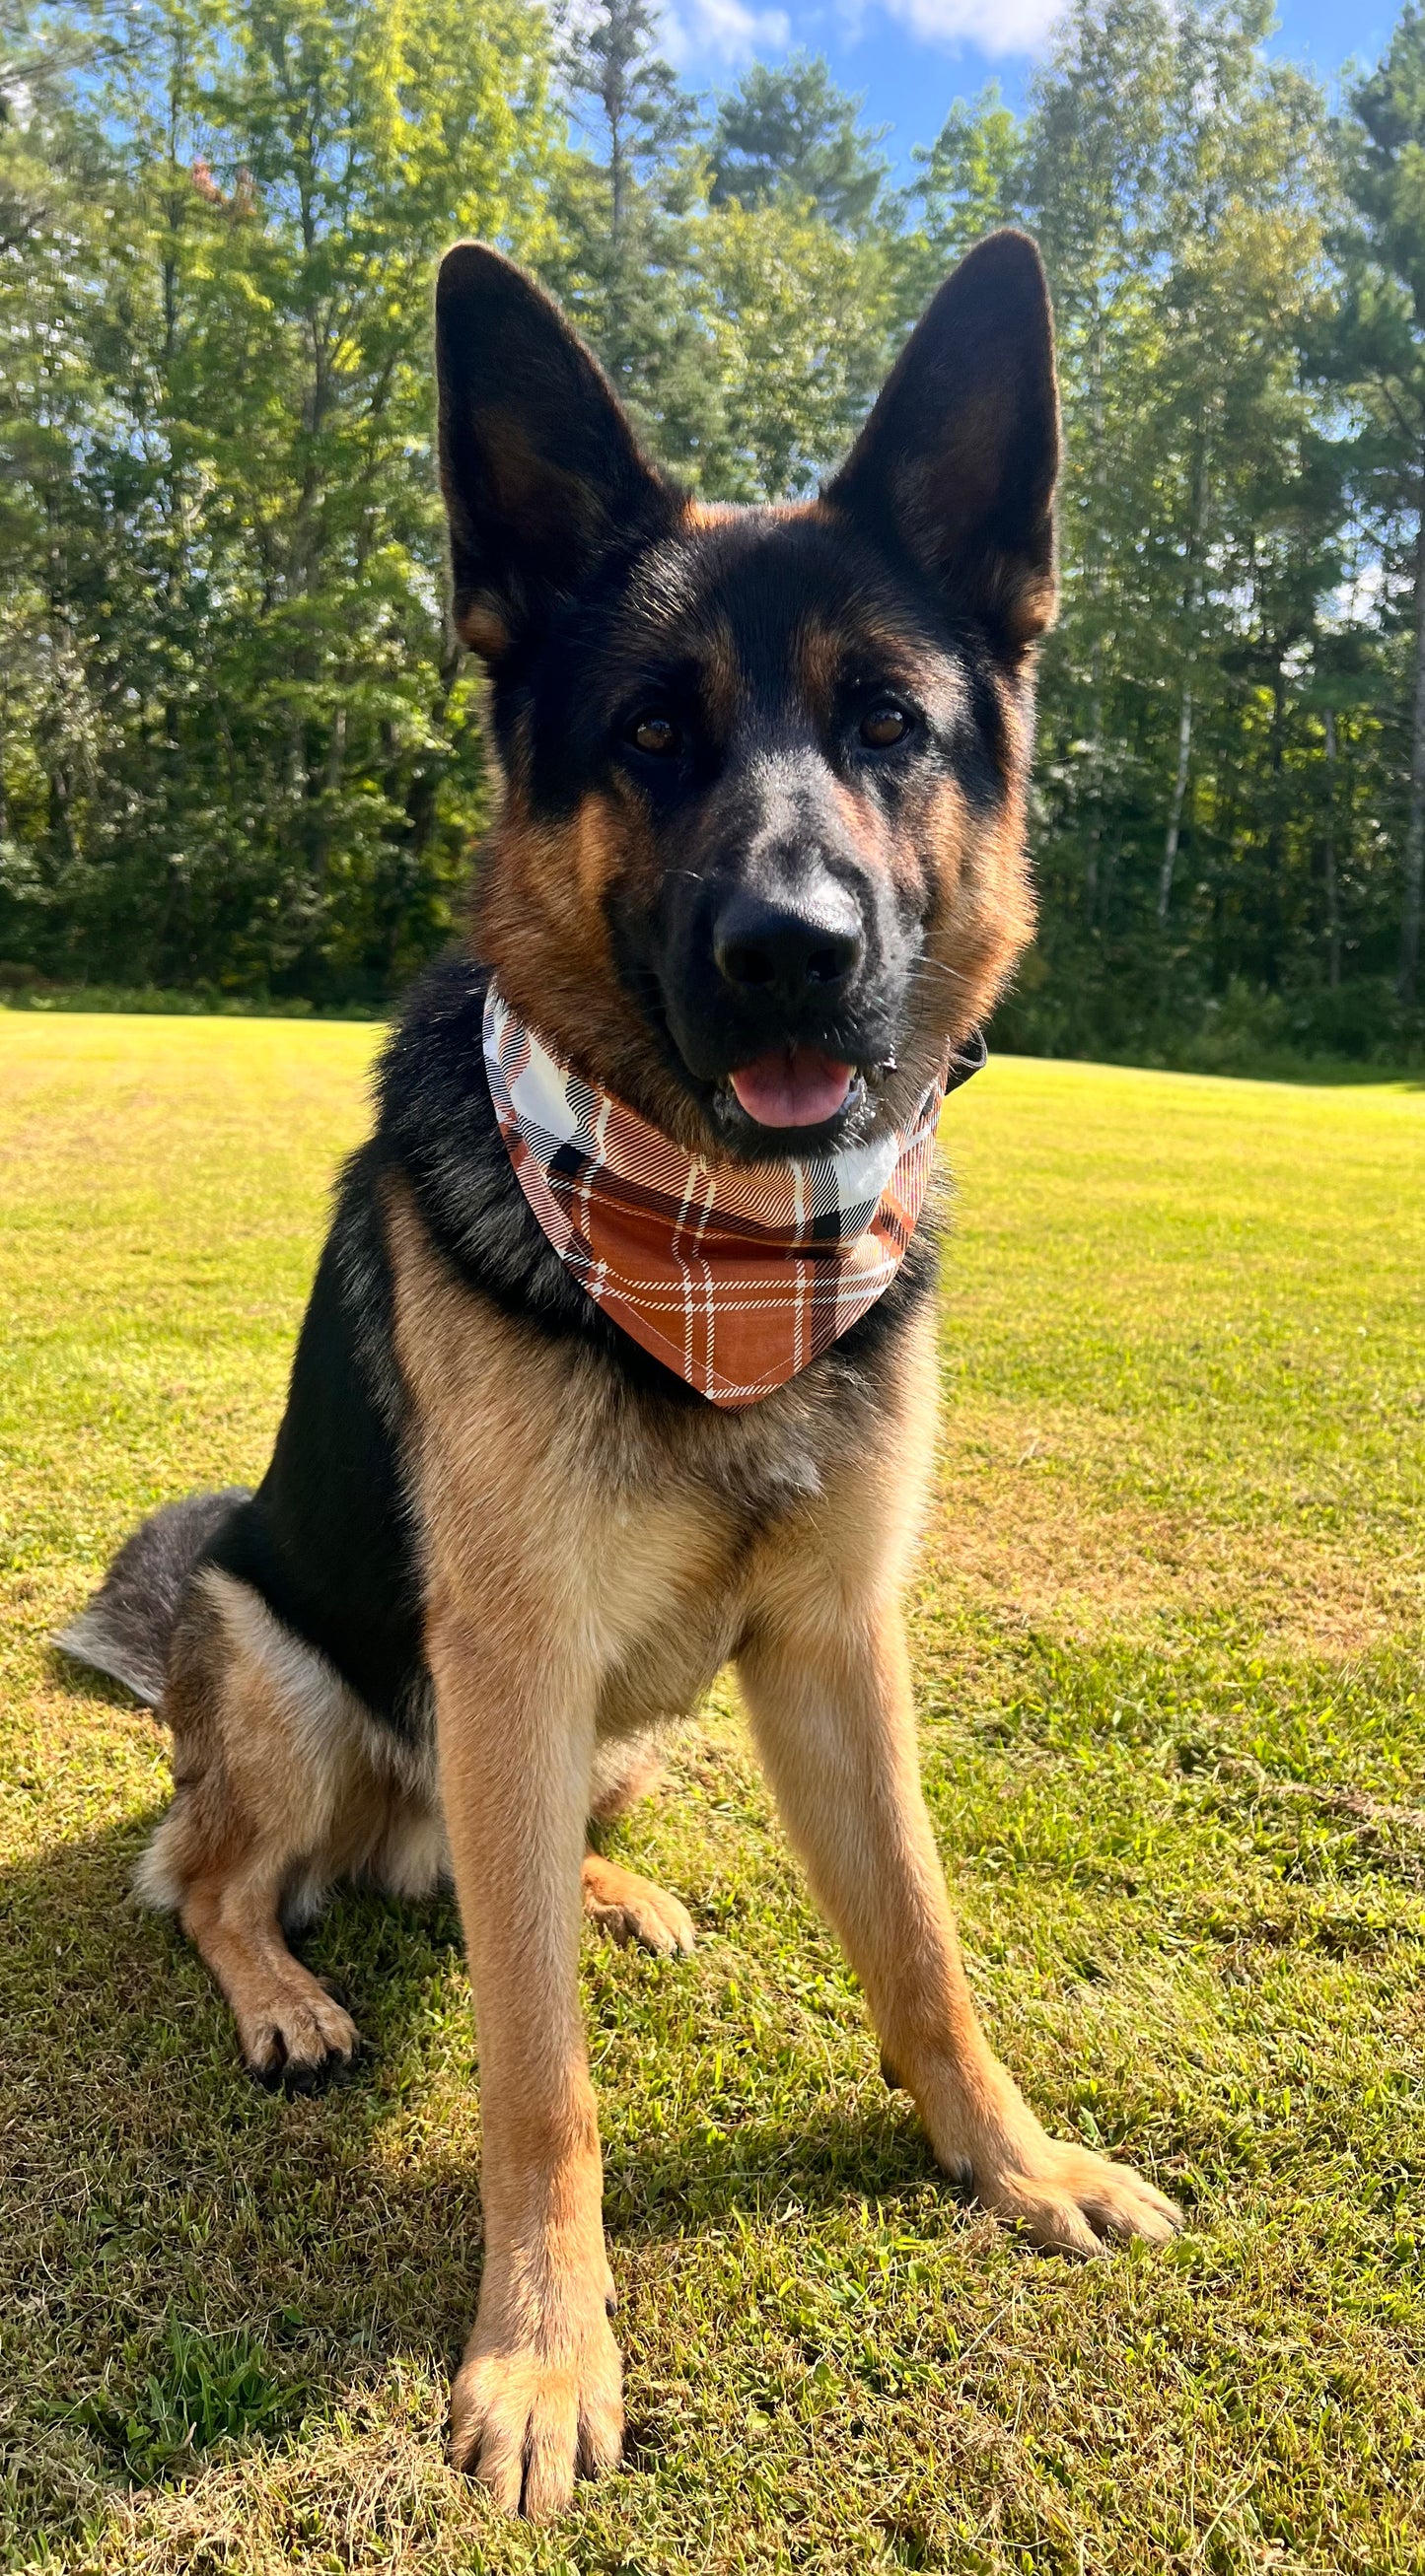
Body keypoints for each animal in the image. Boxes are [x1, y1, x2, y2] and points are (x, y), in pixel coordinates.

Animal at [58, 232, 1179, 2524]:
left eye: (887, 722)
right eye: (653, 733)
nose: (789, 948)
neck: (718, 1244)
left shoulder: (836, 1644)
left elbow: (922, 1943)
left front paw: (1011, 2161)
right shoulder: (505, 1652)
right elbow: (537, 2075)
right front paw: (545, 2351)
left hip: (613, 1735)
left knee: (491, 1864)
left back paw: (591, 1881)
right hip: (291, 1665)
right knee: (210, 1872)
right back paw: (286, 1985)